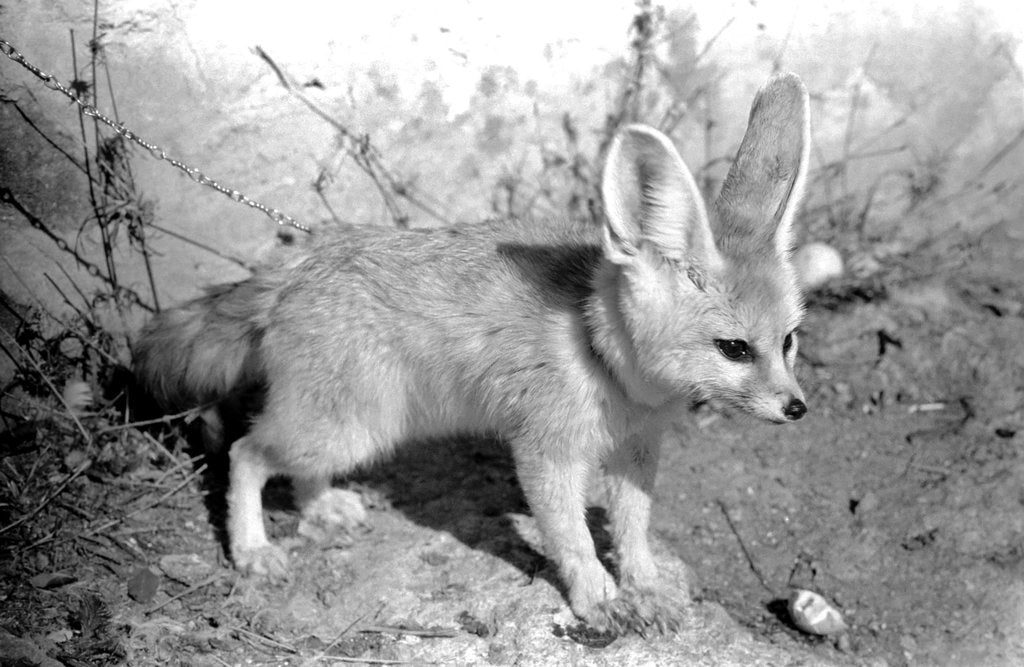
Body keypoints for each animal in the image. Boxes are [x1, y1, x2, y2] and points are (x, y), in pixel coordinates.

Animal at [133, 72, 810, 634]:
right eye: (734, 349)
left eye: (788, 341)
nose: (798, 409)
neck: (600, 356)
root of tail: (298, 262)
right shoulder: (544, 456)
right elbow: (573, 540)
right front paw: (599, 599)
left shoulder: (636, 452)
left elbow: (633, 532)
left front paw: (645, 589)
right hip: (347, 430)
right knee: (245, 452)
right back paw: (252, 549)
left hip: (341, 430)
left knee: (282, 463)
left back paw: (320, 507)